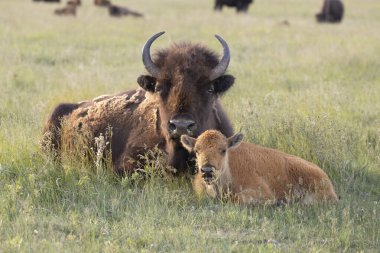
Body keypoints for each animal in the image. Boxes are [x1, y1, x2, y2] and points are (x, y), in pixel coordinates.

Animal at [181, 129, 338, 205]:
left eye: (223, 150)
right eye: (197, 150)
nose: (207, 170)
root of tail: (325, 177)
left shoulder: (262, 191)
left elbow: (237, 198)